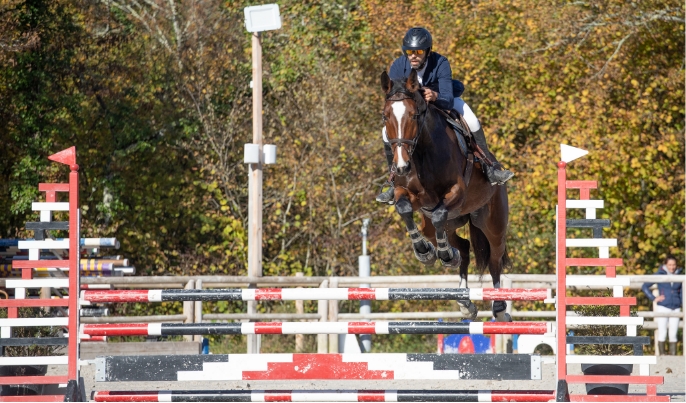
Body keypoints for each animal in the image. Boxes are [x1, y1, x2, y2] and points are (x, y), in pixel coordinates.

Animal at [384, 69, 512, 322]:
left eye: (414, 116)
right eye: (386, 117)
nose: (401, 166)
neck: (421, 154)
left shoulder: (457, 192)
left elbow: (438, 214)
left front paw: (442, 254)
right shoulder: (408, 194)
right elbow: (404, 209)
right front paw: (425, 252)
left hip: (493, 223)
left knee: (494, 259)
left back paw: (500, 307)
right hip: (450, 223)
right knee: (462, 246)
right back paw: (465, 302)